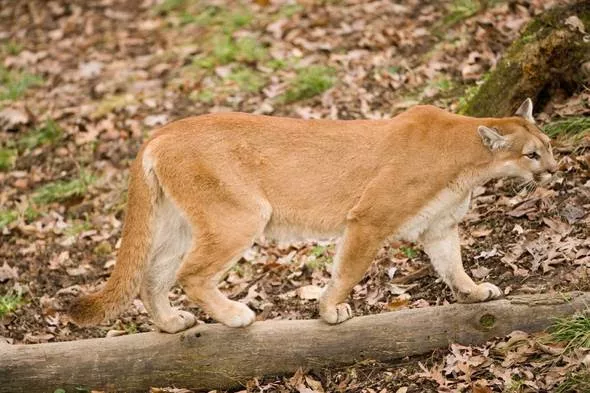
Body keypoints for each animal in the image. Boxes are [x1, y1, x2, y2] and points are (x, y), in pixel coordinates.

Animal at [69, 99, 560, 332]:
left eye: (549, 145)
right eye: (532, 155)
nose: (556, 169)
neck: (467, 161)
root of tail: (161, 133)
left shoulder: (440, 226)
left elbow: (453, 265)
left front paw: (474, 293)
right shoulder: (369, 220)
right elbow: (348, 270)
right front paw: (328, 310)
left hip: (179, 224)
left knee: (152, 276)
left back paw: (172, 325)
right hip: (240, 217)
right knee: (191, 274)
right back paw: (234, 316)